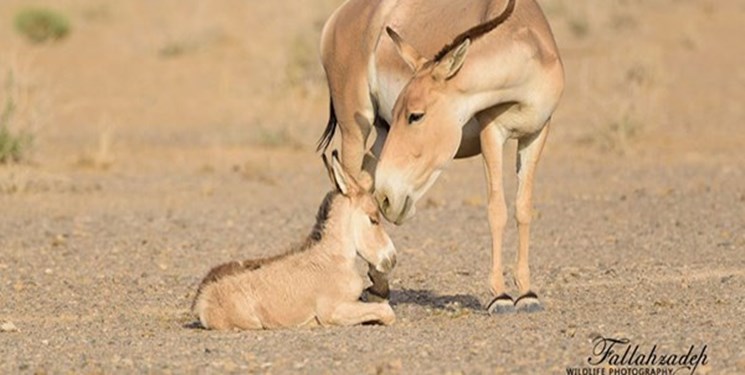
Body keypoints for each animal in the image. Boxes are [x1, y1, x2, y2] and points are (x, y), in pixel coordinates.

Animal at [195, 151, 398, 330]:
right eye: (374, 219)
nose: (392, 258)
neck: (331, 258)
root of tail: (201, 298)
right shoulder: (333, 311)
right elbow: (386, 311)